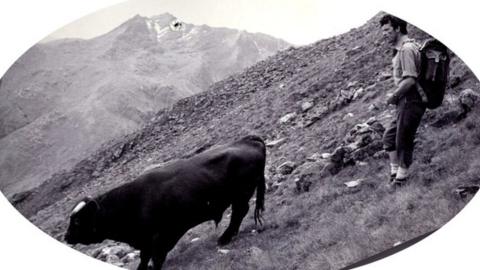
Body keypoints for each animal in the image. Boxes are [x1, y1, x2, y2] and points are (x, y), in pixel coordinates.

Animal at [63, 135, 266, 270]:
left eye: (78, 220)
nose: (66, 237)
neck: (131, 202)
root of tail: (247, 140)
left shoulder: (163, 234)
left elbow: (156, 255)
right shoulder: (146, 239)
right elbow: (145, 257)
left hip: (241, 194)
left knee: (239, 212)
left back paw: (224, 238)